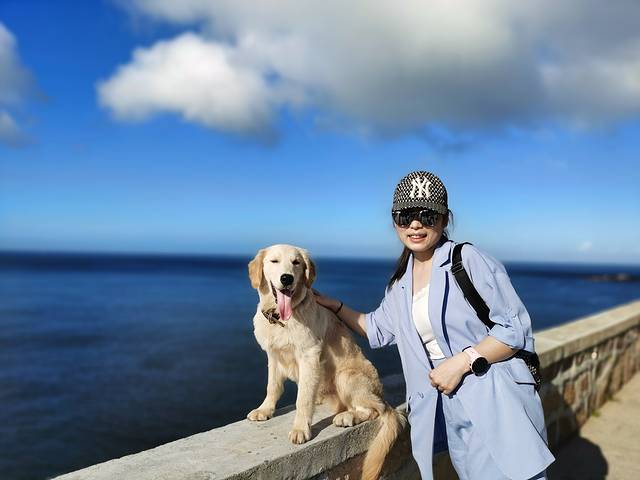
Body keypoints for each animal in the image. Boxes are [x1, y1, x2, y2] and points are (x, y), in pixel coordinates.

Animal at [246, 244, 405, 480]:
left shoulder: (309, 355)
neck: (282, 318)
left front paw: (300, 429)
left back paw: (348, 416)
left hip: (346, 376)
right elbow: (272, 387)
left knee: (376, 409)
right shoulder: (274, 356)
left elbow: (303, 399)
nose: (286, 279)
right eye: (274, 261)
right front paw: (265, 410)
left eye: (296, 263)